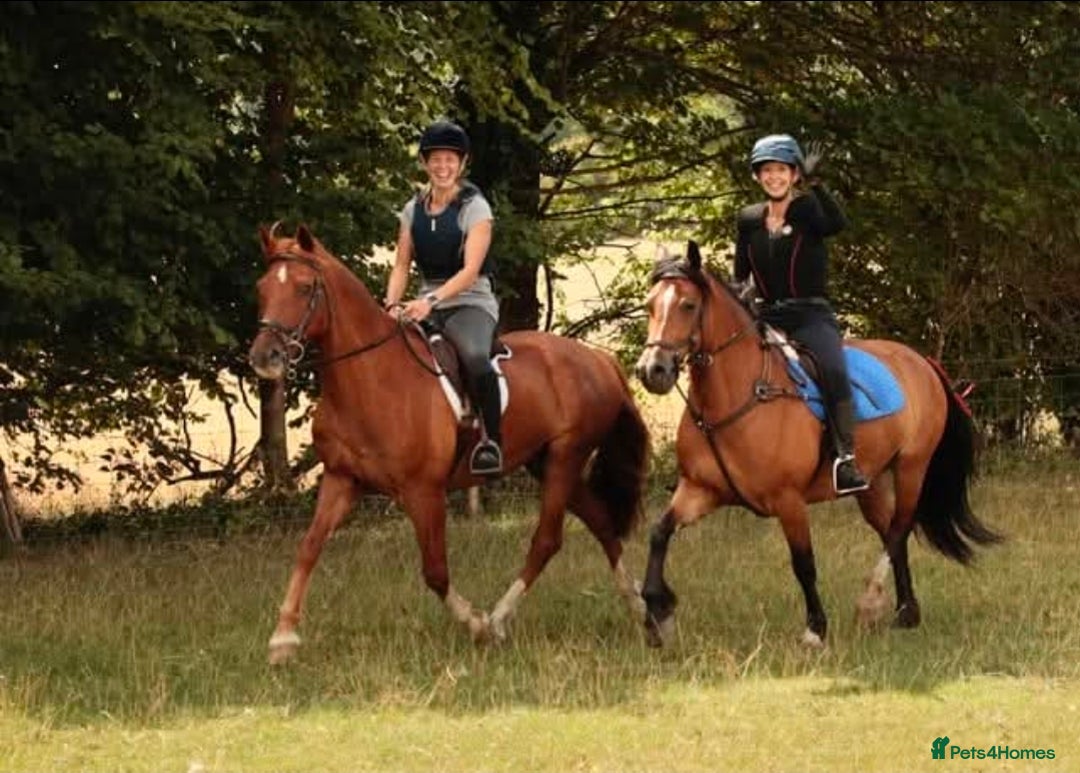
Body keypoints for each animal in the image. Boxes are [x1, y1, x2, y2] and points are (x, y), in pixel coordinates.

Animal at [248, 223, 649, 663]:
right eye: (262, 288)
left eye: (304, 288)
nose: (264, 357)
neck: (370, 380)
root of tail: (598, 360)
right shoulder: (341, 480)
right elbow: (308, 548)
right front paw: (282, 639)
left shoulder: (424, 492)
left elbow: (435, 571)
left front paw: (477, 626)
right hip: (546, 463)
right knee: (601, 523)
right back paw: (641, 608)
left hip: (566, 456)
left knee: (547, 540)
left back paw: (499, 619)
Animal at [633, 241, 1001, 648]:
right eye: (650, 305)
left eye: (688, 305)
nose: (652, 370)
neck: (740, 395)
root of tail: (922, 361)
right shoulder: (700, 490)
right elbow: (659, 533)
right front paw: (657, 614)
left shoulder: (788, 500)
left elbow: (803, 563)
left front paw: (815, 630)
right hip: (871, 482)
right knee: (890, 530)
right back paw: (906, 612)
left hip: (912, 466)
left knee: (900, 528)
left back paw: (873, 603)